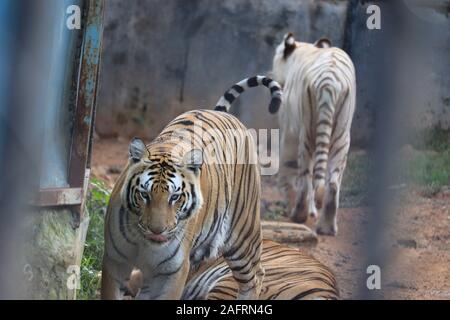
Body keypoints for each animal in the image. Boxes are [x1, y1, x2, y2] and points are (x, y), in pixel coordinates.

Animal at [102, 75, 284, 300]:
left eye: (174, 197)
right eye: (144, 195)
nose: (157, 230)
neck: (145, 243)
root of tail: (222, 113)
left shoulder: (171, 272)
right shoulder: (115, 262)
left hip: (243, 235)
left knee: (256, 276)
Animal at [268, 33, 356, 236]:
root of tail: (331, 80)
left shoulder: (289, 132)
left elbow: (289, 169)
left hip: (307, 132)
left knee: (305, 176)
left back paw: (298, 215)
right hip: (341, 136)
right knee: (332, 182)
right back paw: (327, 227)